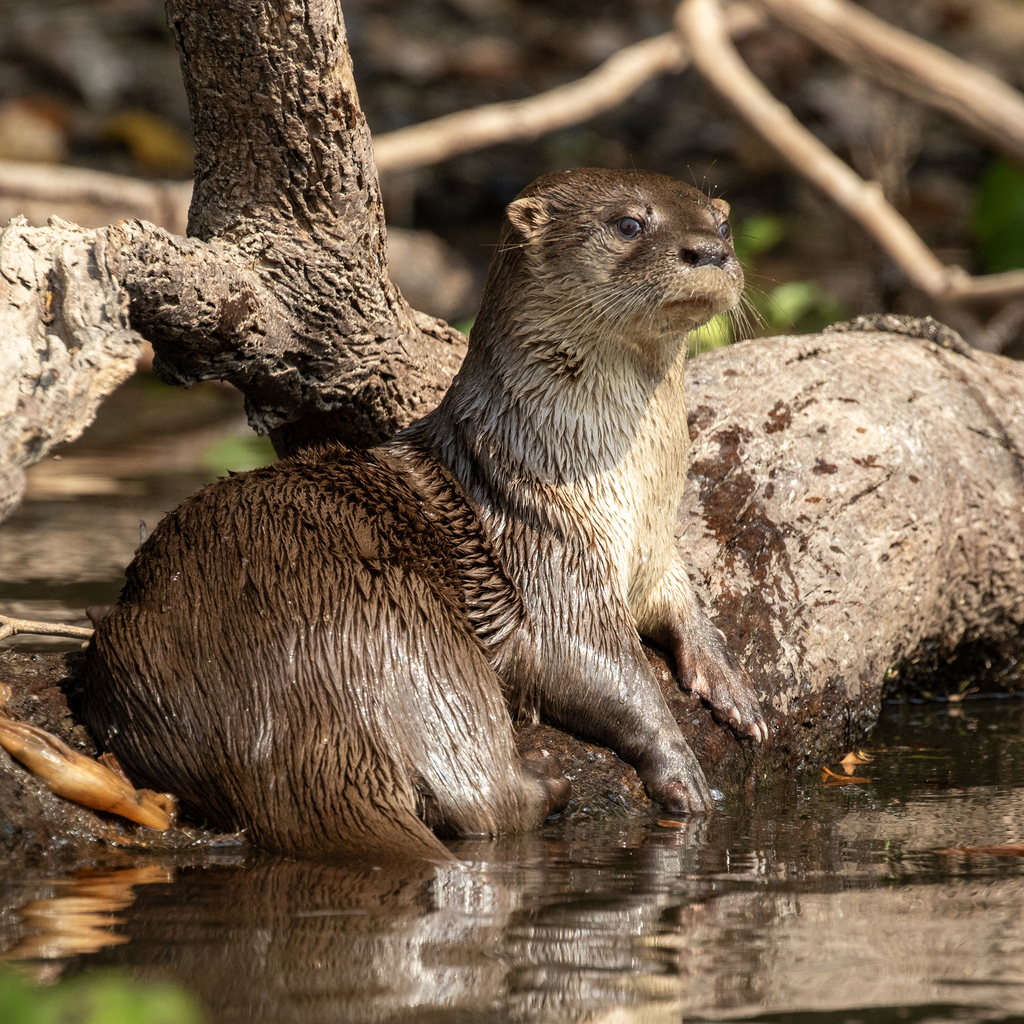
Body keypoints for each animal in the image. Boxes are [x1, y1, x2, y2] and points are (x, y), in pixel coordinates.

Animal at [82, 168, 767, 861]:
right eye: (629, 224)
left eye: (723, 222)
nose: (710, 251)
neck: (618, 495)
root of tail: (276, 733)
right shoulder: (548, 556)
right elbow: (602, 669)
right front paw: (681, 770)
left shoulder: (654, 551)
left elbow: (686, 605)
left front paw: (733, 686)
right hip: (411, 630)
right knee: (483, 794)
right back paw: (549, 784)